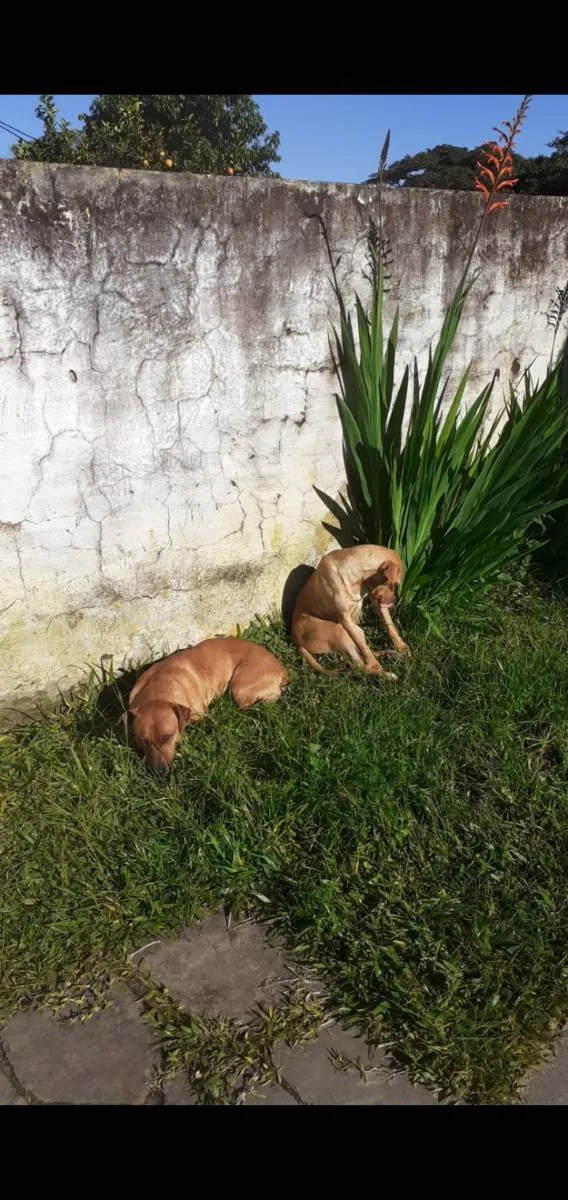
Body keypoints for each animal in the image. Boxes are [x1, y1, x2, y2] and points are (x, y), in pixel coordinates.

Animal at [127, 638, 288, 777]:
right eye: (142, 740)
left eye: (167, 737)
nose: (158, 772)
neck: (157, 687)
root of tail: (282, 670)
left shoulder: (198, 715)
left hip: (239, 689)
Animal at [291, 547, 408, 681]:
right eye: (395, 584)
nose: (394, 600)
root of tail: (297, 643)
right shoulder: (345, 619)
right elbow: (366, 652)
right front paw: (379, 667)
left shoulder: (376, 602)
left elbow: (390, 626)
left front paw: (401, 646)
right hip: (340, 631)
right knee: (360, 666)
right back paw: (386, 673)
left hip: (352, 634)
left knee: (362, 656)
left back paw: (390, 654)